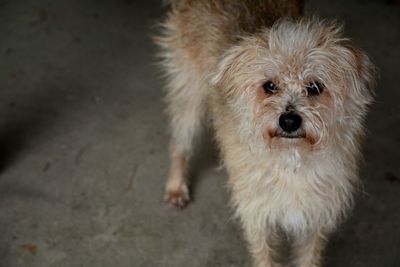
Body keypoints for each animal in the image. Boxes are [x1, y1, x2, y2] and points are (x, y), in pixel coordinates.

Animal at [154, 1, 376, 266]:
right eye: (269, 86)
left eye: (314, 87)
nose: (289, 121)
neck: (291, 161)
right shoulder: (257, 213)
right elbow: (265, 255)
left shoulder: (316, 216)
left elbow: (309, 256)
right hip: (189, 94)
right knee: (180, 142)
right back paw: (176, 187)